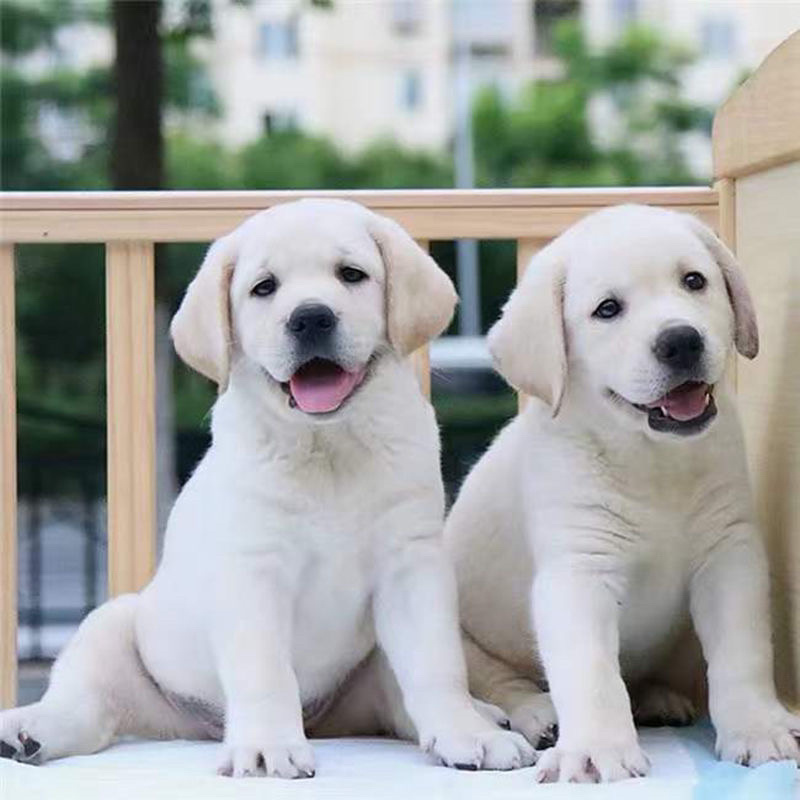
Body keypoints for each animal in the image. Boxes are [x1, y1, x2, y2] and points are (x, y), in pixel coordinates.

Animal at [4, 198, 536, 776]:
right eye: (264, 287)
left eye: (351, 275)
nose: (311, 317)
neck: (327, 448)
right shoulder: (253, 569)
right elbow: (264, 669)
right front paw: (266, 747)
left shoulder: (411, 564)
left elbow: (436, 663)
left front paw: (467, 734)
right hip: (114, 628)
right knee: (88, 705)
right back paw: (28, 731)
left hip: (368, 668)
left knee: (395, 699)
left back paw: (483, 716)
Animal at [444, 203, 800, 784]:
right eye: (607, 310)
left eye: (694, 281)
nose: (681, 341)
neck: (650, 459)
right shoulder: (578, 571)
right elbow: (591, 670)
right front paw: (596, 750)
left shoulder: (730, 554)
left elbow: (741, 652)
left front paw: (758, 728)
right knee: (502, 683)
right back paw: (540, 715)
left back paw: (657, 698)